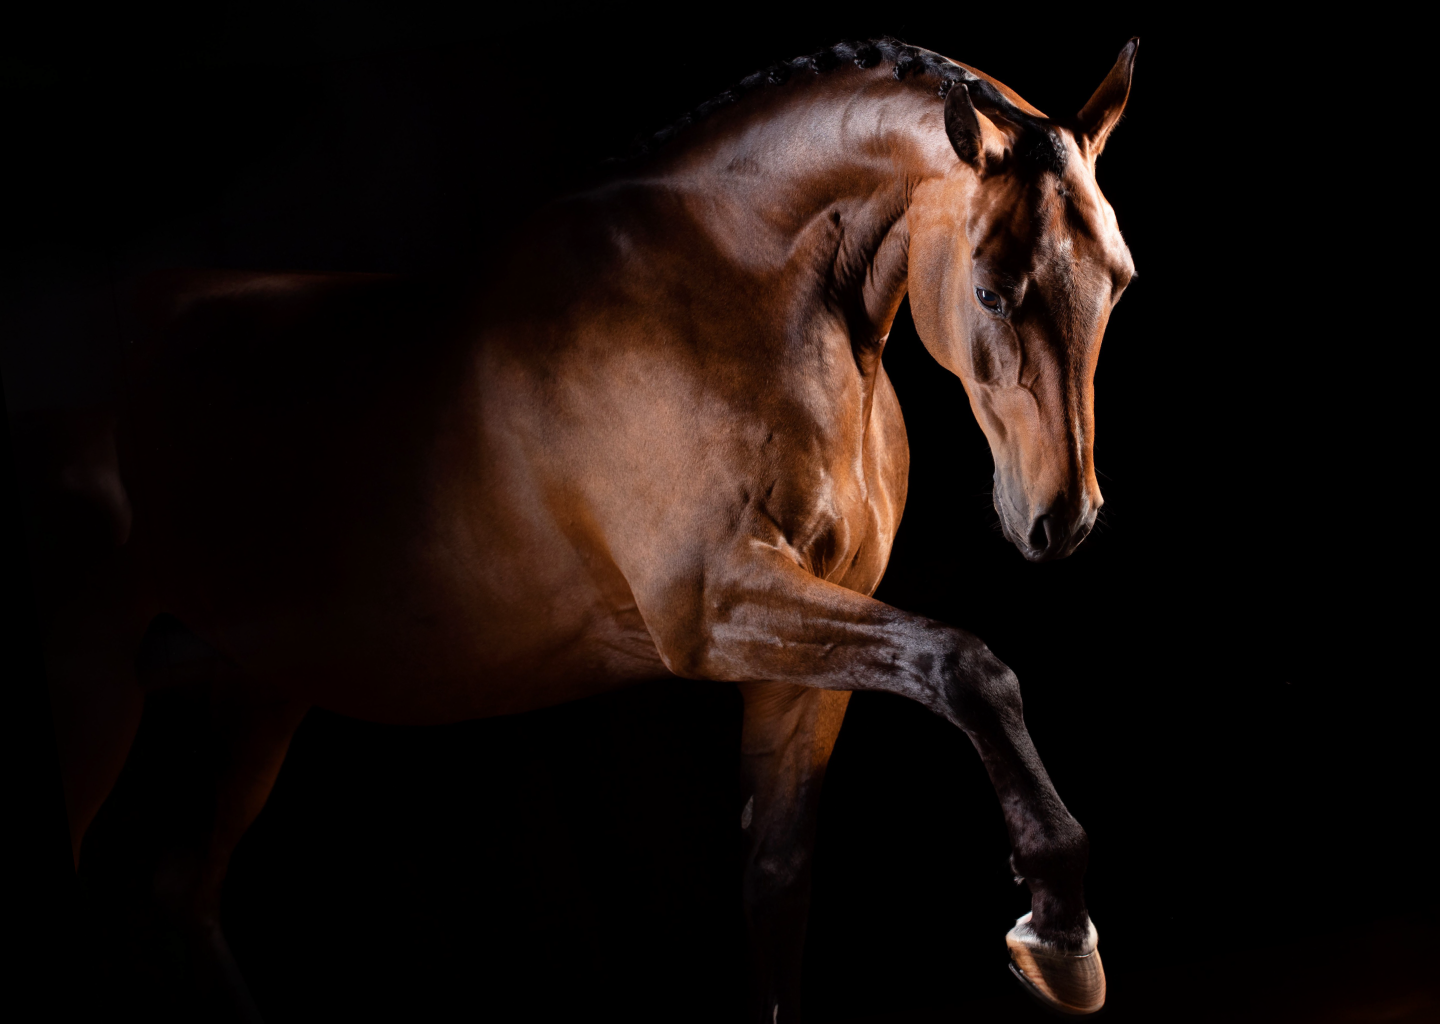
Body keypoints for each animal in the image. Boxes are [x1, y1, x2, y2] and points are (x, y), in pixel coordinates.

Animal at [44, 36, 1139, 1021]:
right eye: (992, 287)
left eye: (1119, 278)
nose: (1064, 518)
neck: (744, 292)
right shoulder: (713, 612)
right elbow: (971, 665)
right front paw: (1059, 932)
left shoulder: (807, 666)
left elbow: (777, 886)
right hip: (97, 699)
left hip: (256, 690)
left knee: (180, 890)